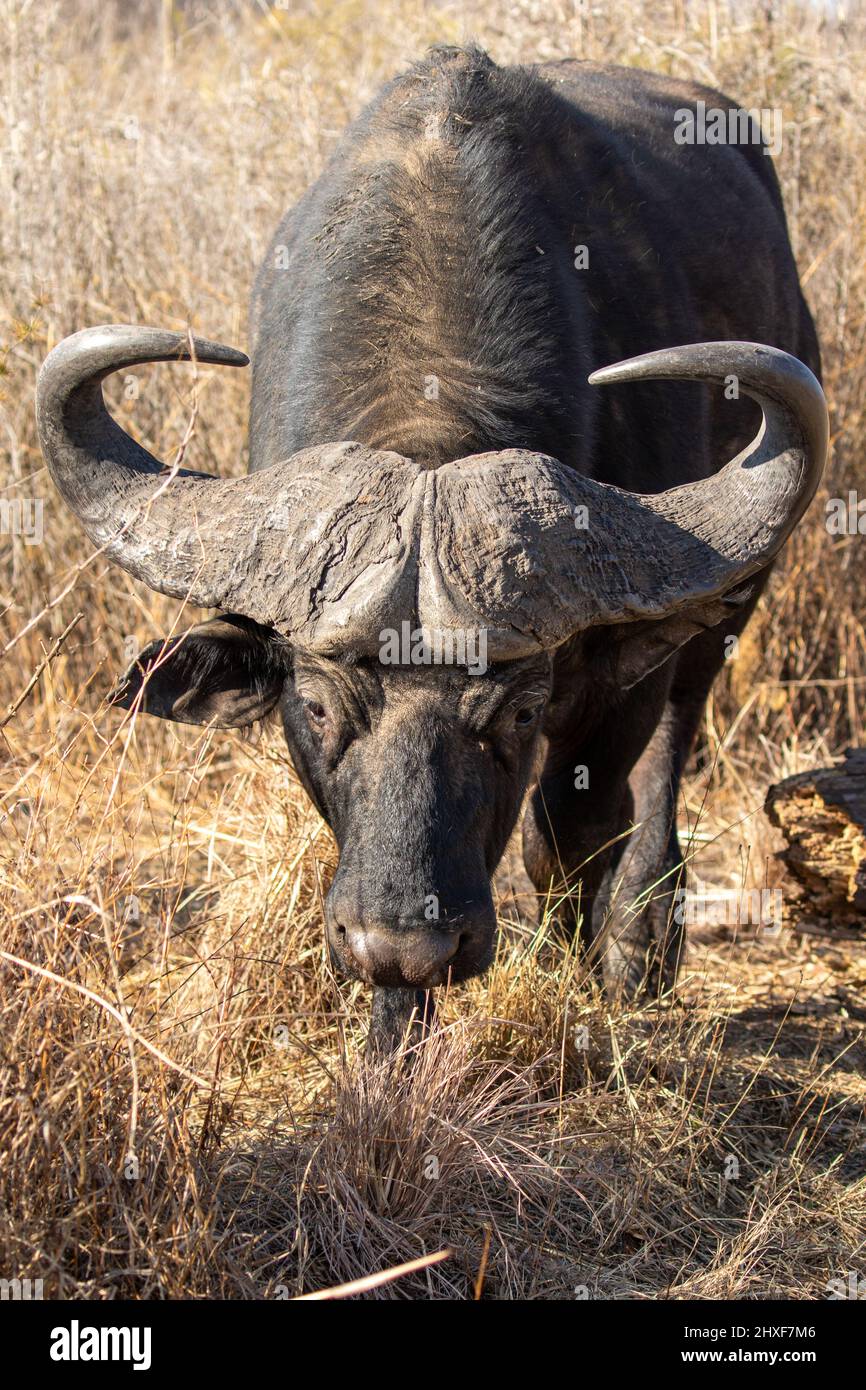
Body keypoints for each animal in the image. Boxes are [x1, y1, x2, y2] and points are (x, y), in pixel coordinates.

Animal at [37, 47, 827, 1050]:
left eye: (519, 714)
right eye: (317, 707)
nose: (410, 941)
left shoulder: (615, 686)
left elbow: (567, 833)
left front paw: (579, 976)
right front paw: (389, 1048)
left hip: (730, 605)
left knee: (668, 749)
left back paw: (646, 936)